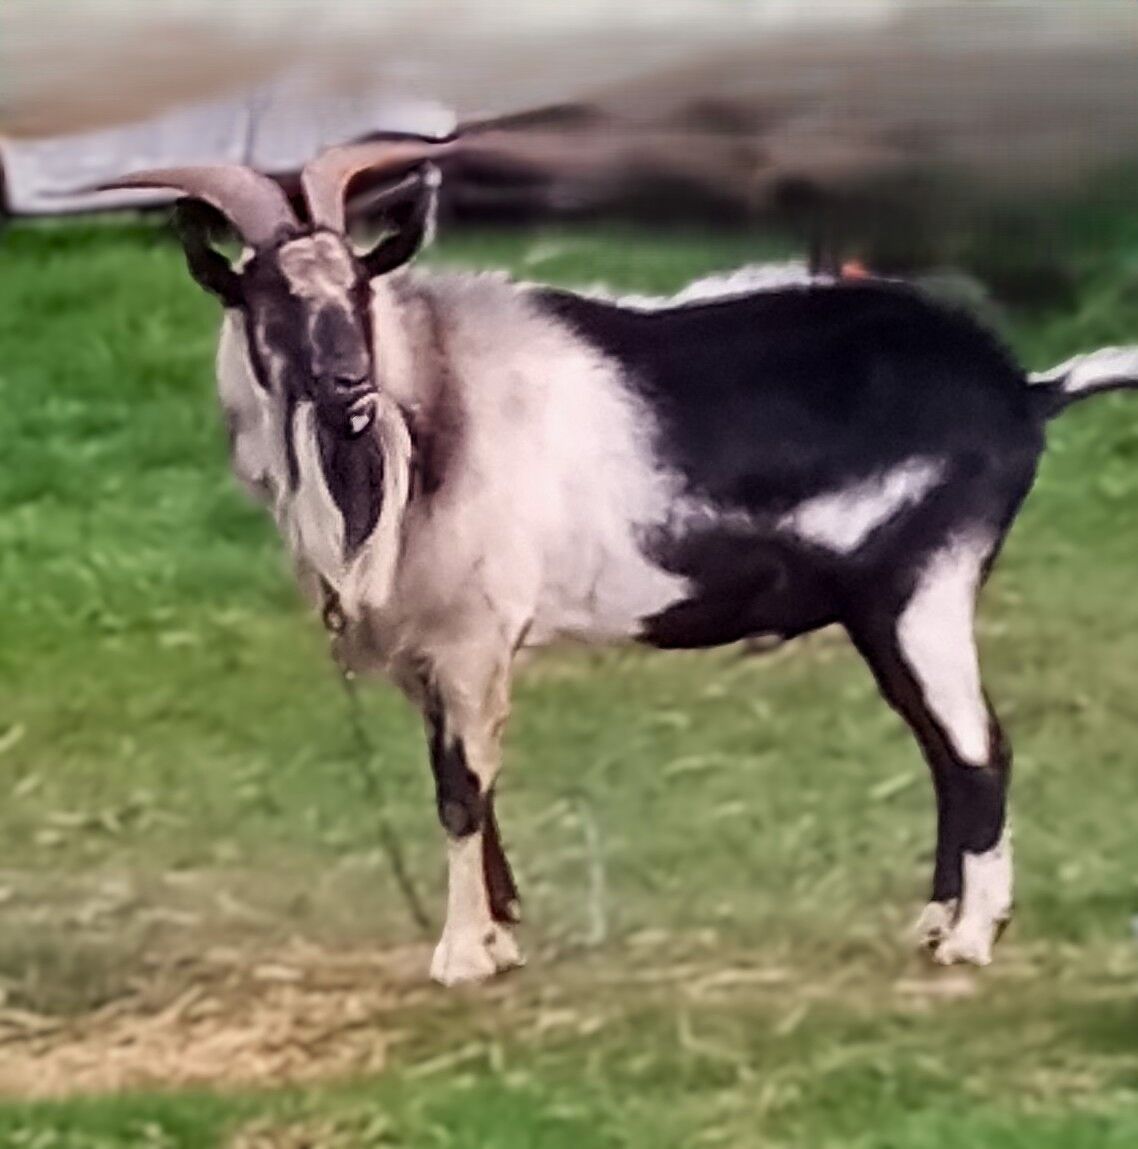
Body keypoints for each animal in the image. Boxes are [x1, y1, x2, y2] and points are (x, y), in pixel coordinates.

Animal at [95, 139, 1138, 985]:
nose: (349, 382)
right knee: (940, 746)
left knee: (977, 748)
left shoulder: (476, 633)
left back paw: (970, 939)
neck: (435, 402)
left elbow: (461, 787)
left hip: (924, 584)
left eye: (354, 283)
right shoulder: (430, 650)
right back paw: (934, 921)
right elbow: (466, 780)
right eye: (269, 295)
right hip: (884, 608)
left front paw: (462, 955)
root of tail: (1027, 389)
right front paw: (501, 936)